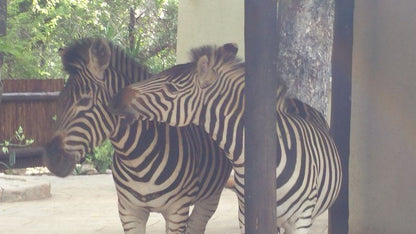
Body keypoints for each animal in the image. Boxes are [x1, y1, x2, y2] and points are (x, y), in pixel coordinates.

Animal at [44, 37, 232, 233]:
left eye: (85, 101)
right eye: (59, 99)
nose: (51, 159)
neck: (135, 159)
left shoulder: (177, 211)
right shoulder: (129, 211)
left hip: (211, 196)